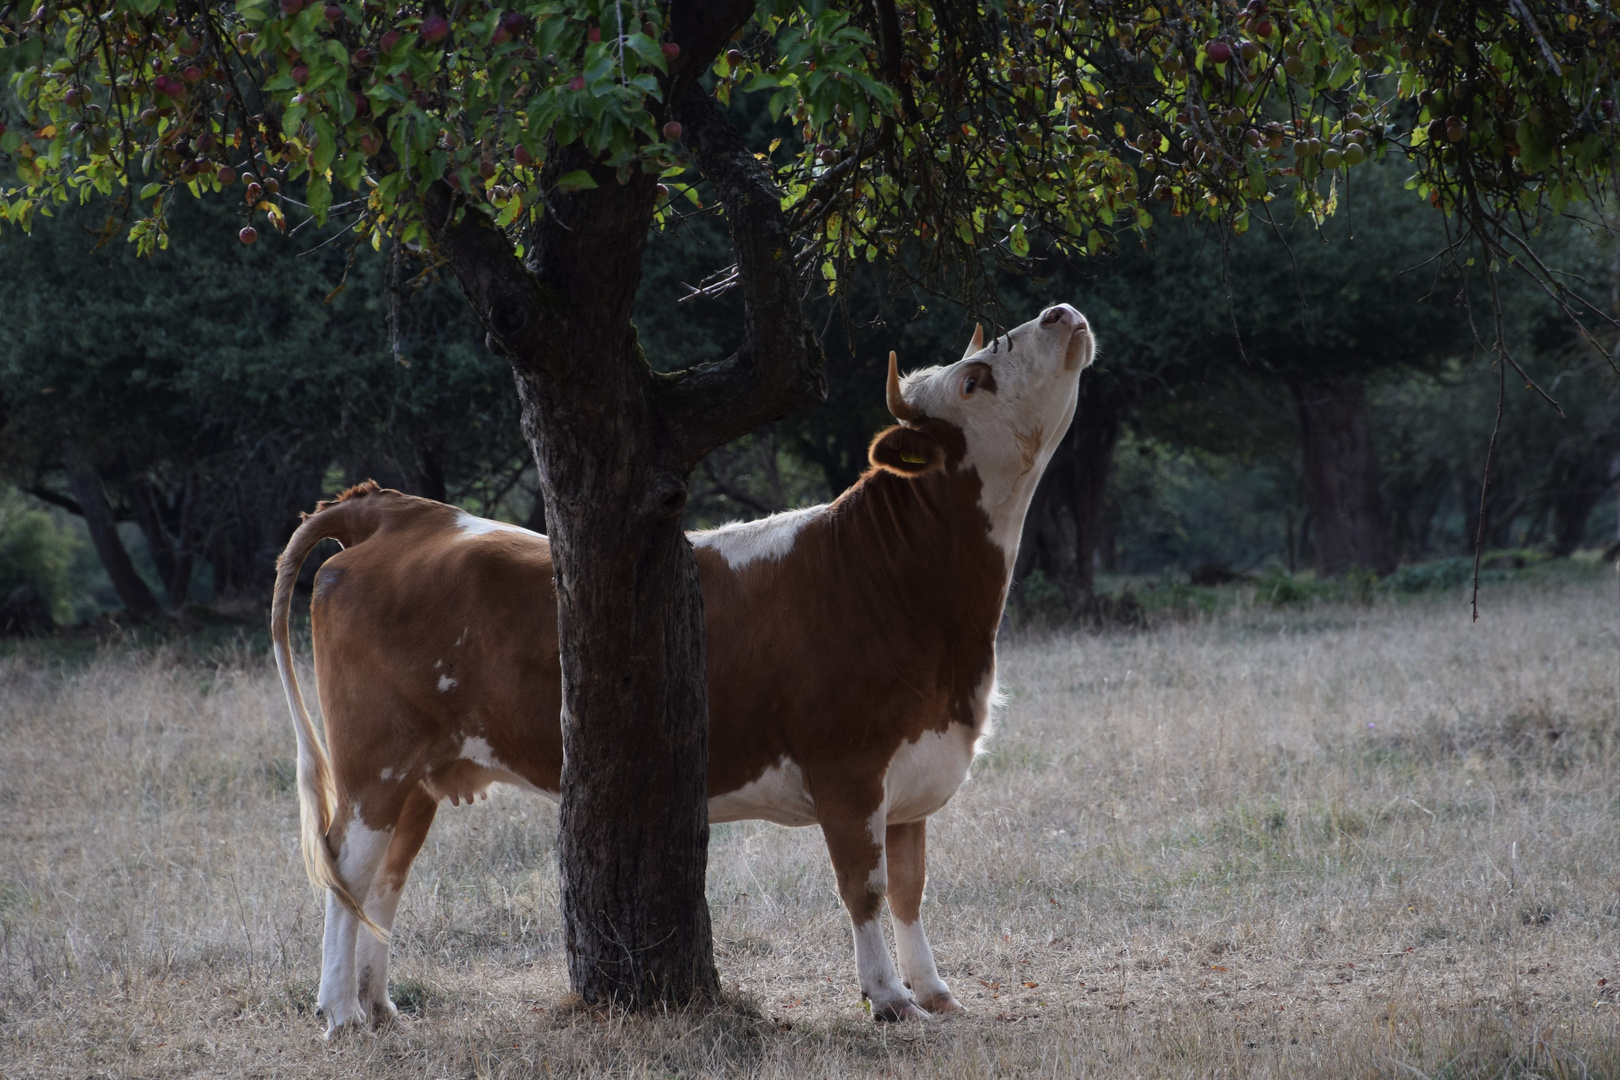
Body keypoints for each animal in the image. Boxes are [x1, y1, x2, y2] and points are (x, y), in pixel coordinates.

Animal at [272, 302, 1095, 1029]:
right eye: (976, 379)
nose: (1061, 313)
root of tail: (400, 512)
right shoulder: (848, 769)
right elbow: (863, 887)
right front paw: (889, 999)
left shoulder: (915, 770)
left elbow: (910, 890)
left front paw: (934, 991)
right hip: (375, 761)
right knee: (346, 868)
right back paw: (339, 1011)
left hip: (418, 776)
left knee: (384, 882)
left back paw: (381, 1007)